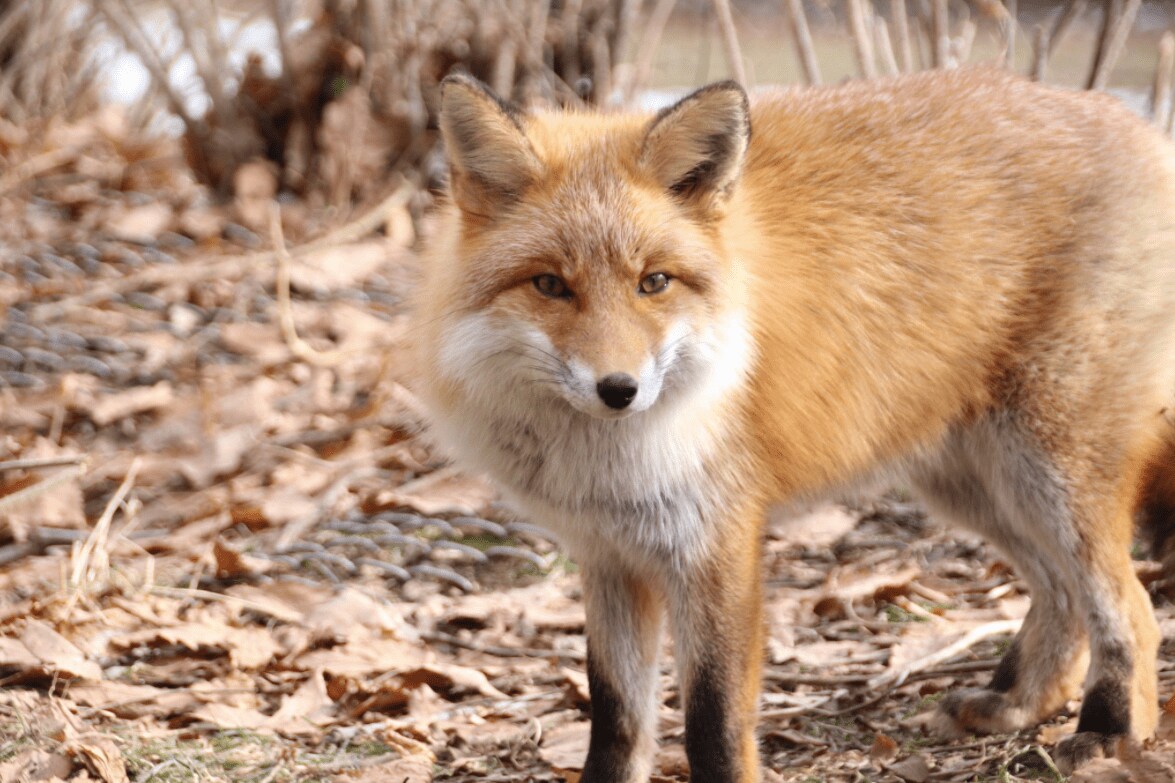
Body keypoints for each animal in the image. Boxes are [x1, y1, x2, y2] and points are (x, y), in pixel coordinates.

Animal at [411, 68, 1175, 780]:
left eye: (653, 282)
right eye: (550, 285)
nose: (618, 389)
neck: (609, 462)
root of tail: (1131, 120)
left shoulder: (714, 542)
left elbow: (712, 722)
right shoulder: (607, 554)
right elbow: (617, 717)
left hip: (1050, 471)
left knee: (1129, 605)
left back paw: (1108, 728)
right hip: (975, 485)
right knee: (1060, 593)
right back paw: (1019, 704)